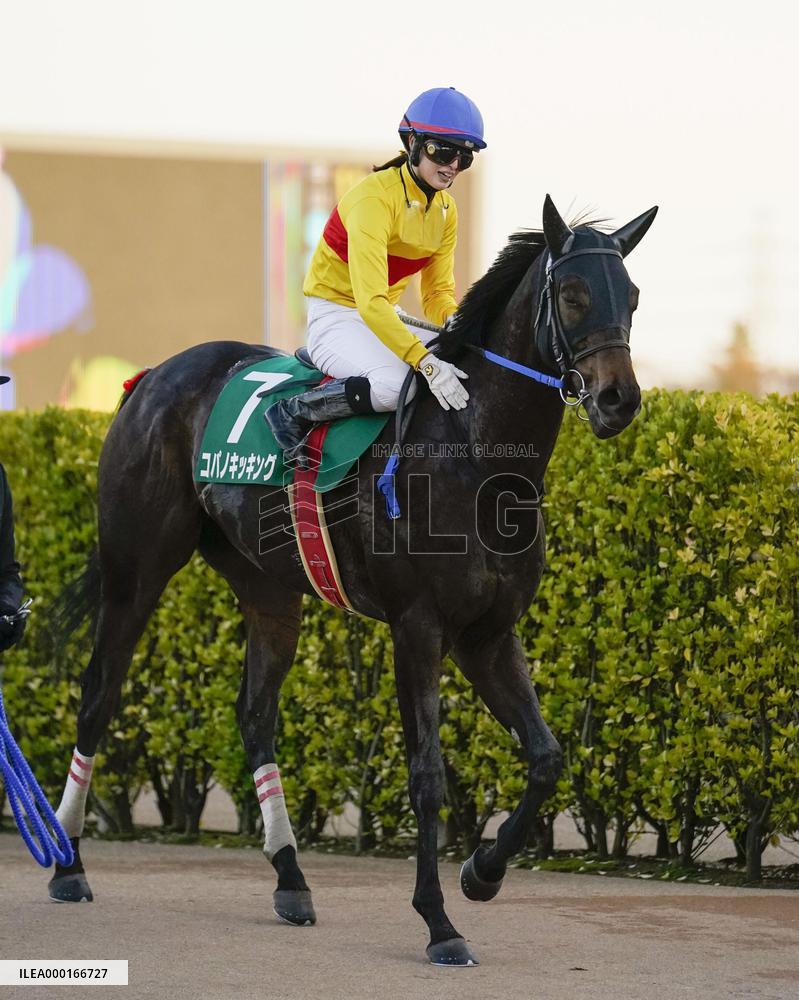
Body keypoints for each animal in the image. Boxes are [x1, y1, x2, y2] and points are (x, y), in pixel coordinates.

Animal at [49, 195, 656, 966]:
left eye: (631, 296)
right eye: (574, 294)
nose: (617, 400)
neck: (476, 455)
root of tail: (153, 375)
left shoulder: (488, 633)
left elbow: (546, 757)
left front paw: (481, 874)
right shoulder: (418, 627)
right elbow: (426, 773)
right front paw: (438, 921)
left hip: (269, 587)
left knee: (255, 714)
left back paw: (291, 880)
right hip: (137, 568)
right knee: (99, 694)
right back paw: (67, 864)